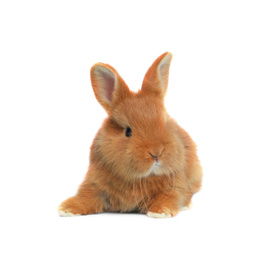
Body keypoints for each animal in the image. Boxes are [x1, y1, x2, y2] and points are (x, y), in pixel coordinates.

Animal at [58, 51, 202, 217]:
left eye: (165, 123)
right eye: (128, 131)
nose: (156, 153)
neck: (138, 178)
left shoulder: (174, 186)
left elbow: (170, 197)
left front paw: (159, 212)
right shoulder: (95, 185)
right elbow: (85, 197)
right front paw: (67, 209)